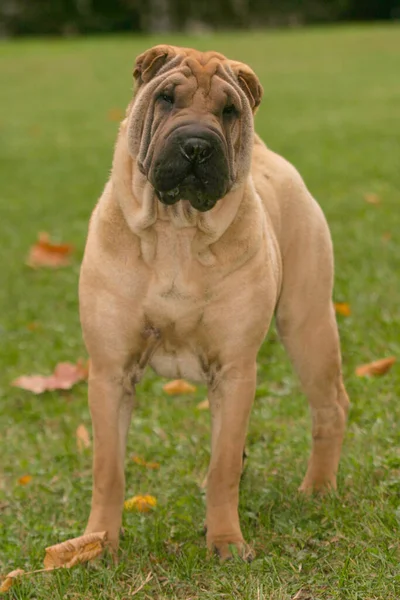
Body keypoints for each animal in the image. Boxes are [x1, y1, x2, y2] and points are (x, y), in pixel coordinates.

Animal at [80, 43, 350, 564]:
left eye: (229, 112)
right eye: (165, 98)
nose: (197, 146)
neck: (177, 232)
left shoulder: (234, 369)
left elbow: (222, 464)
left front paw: (226, 543)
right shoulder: (110, 371)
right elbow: (109, 470)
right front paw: (99, 543)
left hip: (308, 323)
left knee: (330, 407)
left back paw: (318, 489)